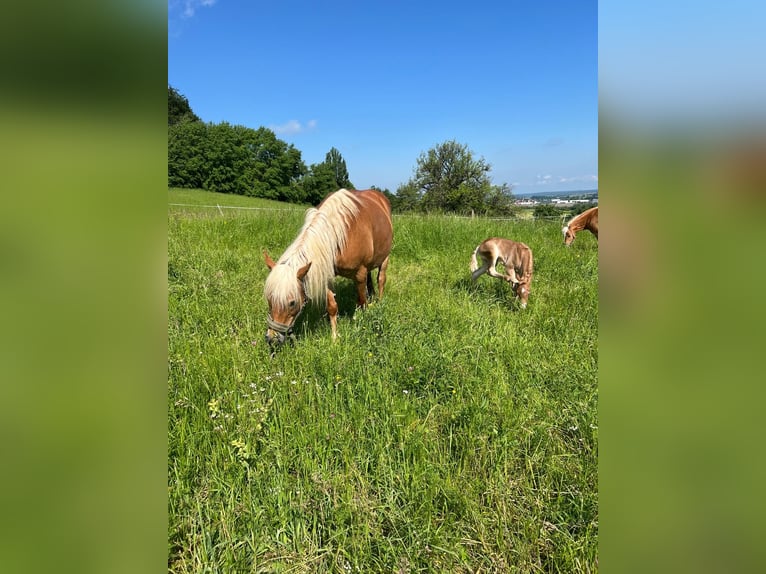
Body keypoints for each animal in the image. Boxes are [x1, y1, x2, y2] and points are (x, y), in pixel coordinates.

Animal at [266, 191, 396, 348]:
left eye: (292, 303)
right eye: (269, 299)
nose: (272, 338)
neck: (341, 234)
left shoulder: (360, 274)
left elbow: (362, 301)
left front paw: (361, 322)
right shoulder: (325, 273)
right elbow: (332, 306)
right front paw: (334, 336)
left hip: (385, 258)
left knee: (381, 279)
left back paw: (380, 302)